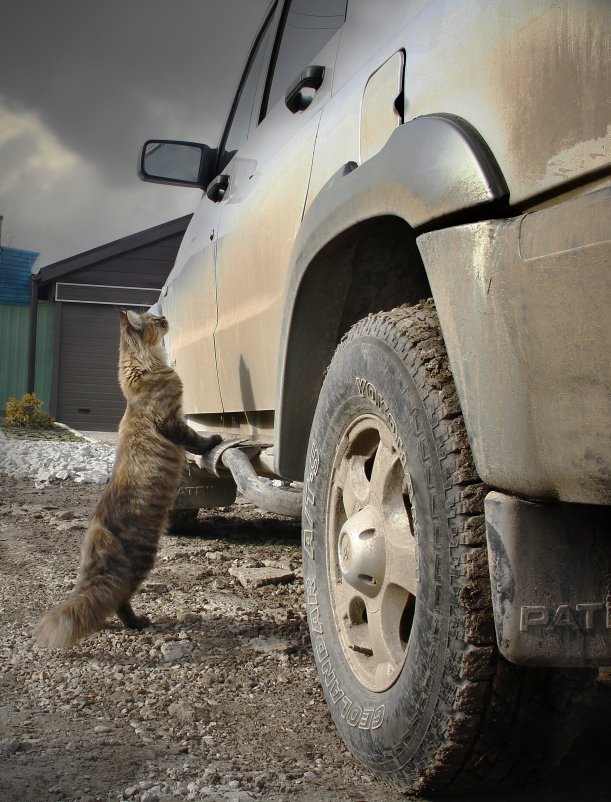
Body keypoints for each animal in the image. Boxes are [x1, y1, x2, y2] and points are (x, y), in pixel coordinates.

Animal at [37, 310, 221, 648]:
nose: (165, 316)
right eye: (155, 320)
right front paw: (214, 439)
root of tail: (96, 536)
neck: (145, 367)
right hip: (143, 559)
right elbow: (196, 439)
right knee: (119, 599)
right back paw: (138, 623)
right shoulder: (173, 421)